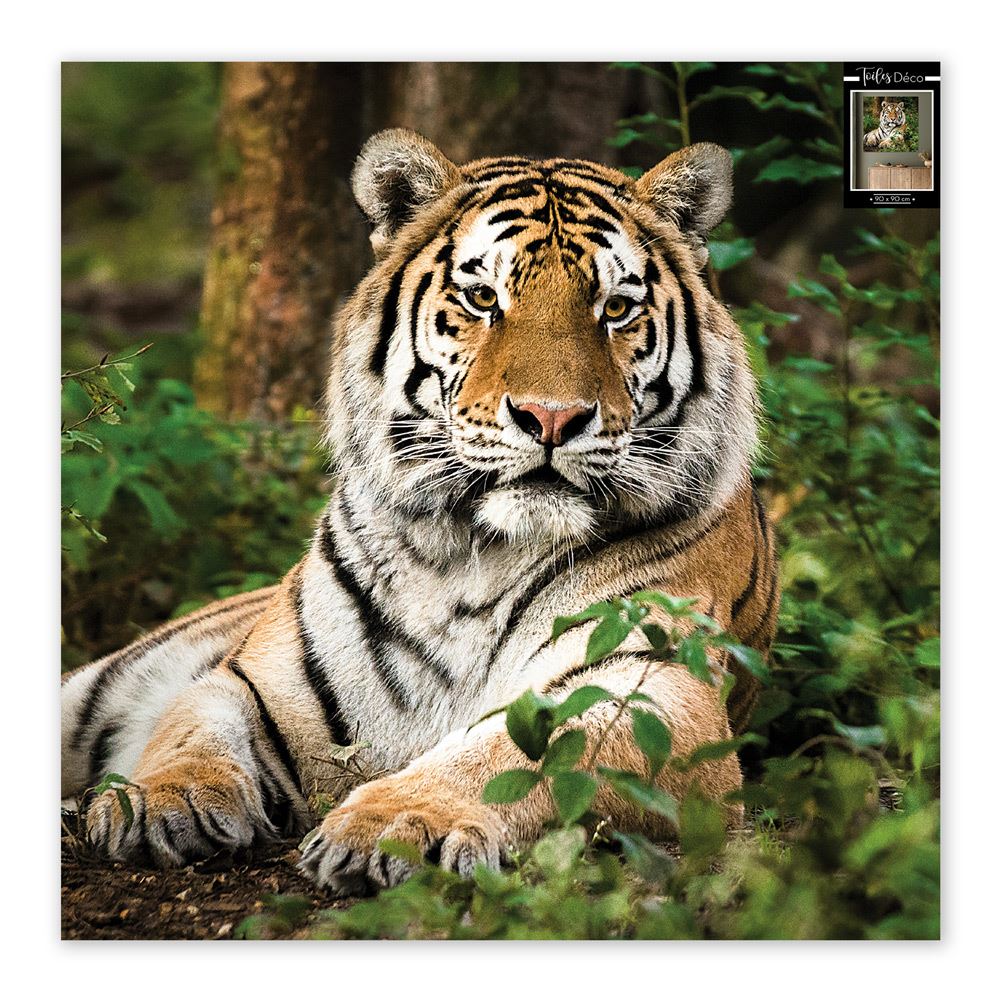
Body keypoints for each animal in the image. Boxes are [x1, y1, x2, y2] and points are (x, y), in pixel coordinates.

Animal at [62, 129, 779, 896]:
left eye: (615, 308)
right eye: (482, 297)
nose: (552, 418)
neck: (471, 553)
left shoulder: (654, 686)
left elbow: (519, 755)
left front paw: (398, 823)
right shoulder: (252, 679)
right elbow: (190, 726)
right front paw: (157, 800)